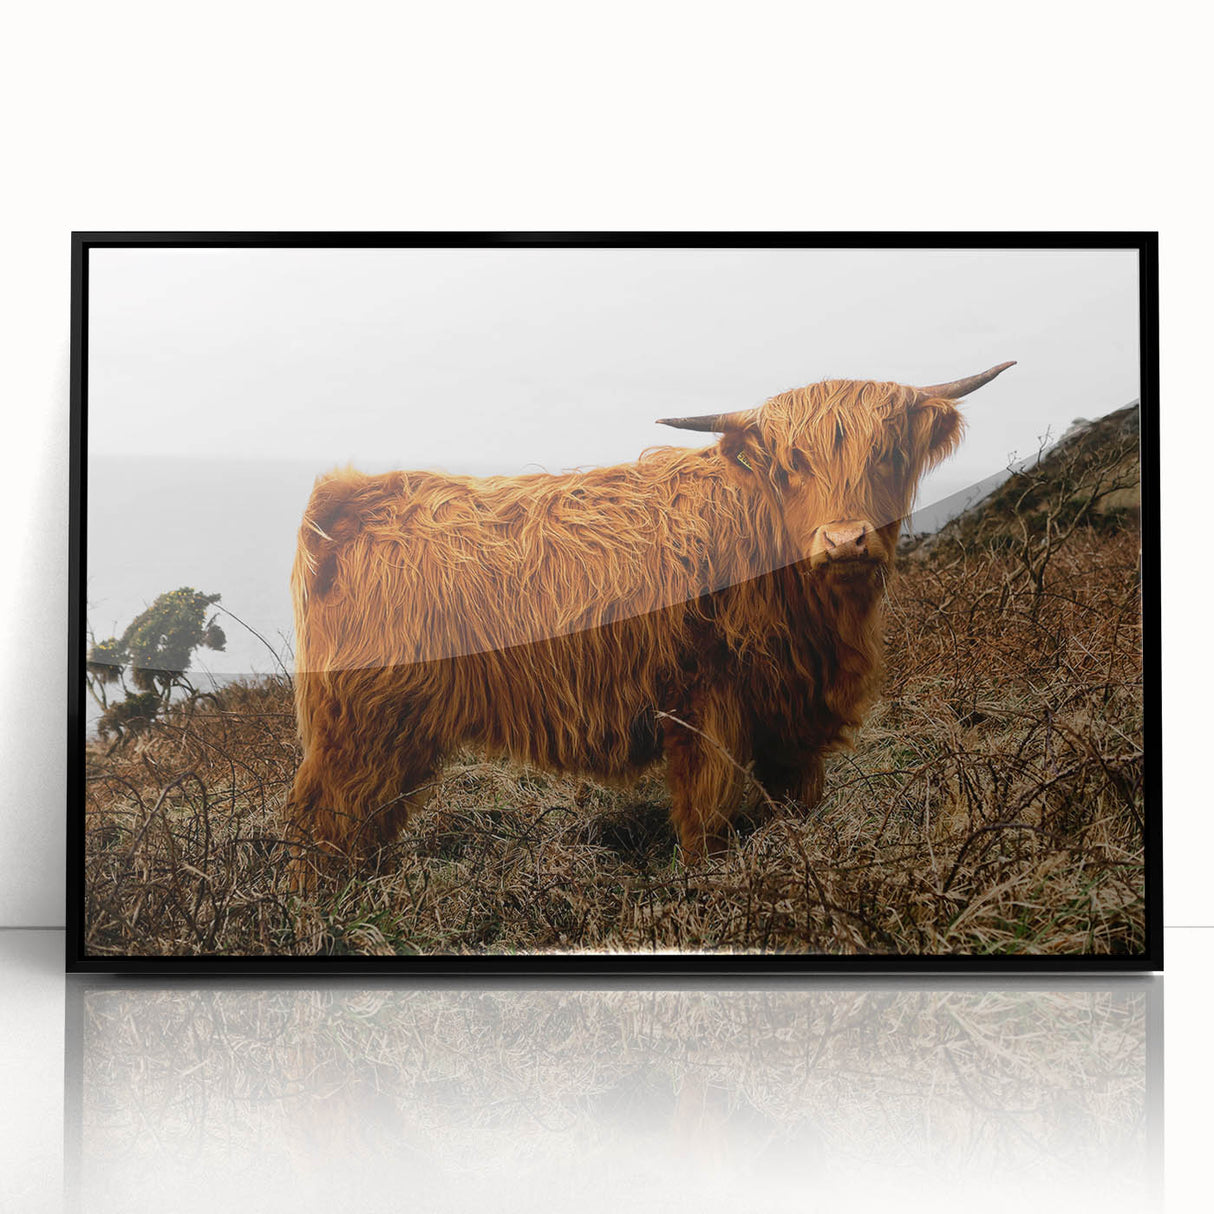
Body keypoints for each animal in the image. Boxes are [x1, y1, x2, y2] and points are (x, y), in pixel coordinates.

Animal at [284, 362, 1014, 881]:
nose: (844, 539)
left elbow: (794, 805)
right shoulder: (706, 704)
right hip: (365, 724)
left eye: (887, 454)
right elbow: (708, 816)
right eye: (791, 464)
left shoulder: (792, 716)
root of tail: (350, 497)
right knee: (326, 819)